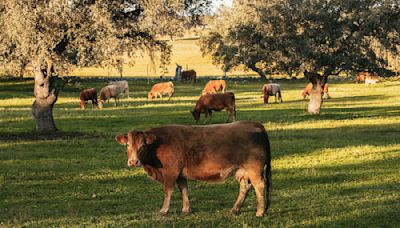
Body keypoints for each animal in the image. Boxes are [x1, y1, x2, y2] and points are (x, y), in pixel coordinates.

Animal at [115, 120, 272, 216]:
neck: (158, 144)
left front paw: (164, 210)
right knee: (245, 187)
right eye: (128, 145)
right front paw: (185, 209)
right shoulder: (180, 174)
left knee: (259, 186)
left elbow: (168, 191)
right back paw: (235, 209)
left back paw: (260, 212)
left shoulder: (170, 172)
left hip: (254, 169)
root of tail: (255, 123)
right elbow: (184, 190)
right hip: (243, 171)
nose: (133, 162)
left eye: (142, 145)